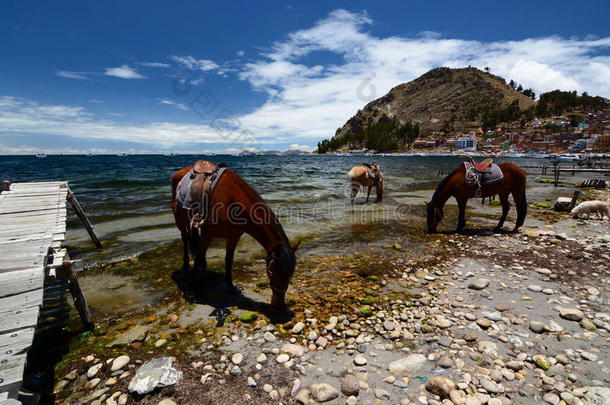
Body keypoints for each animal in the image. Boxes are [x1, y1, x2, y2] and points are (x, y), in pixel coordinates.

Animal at [171, 159, 296, 308]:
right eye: (272, 270)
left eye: (291, 273)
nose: (279, 304)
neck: (231, 201)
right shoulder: (208, 234)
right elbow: (198, 256)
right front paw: (193, 290)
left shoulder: (233, 236)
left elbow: (228, 260)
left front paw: (230, 285)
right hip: (180, 220)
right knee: (185, 239)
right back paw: (186, 264)